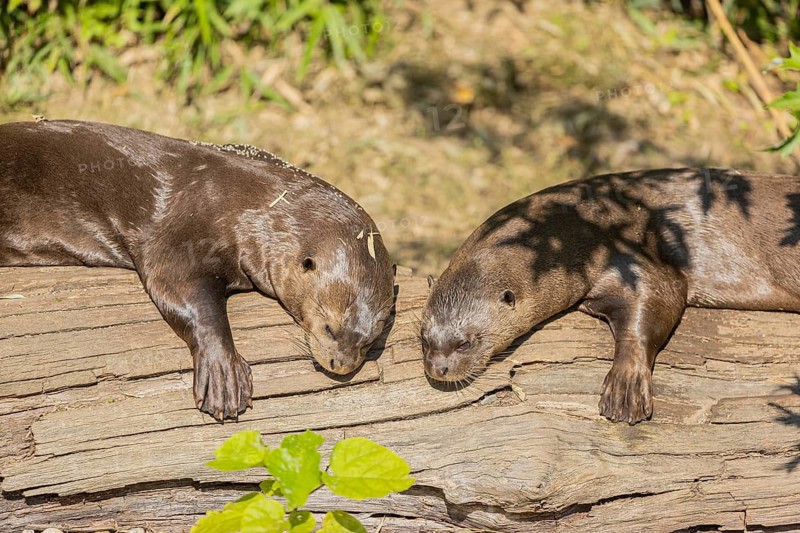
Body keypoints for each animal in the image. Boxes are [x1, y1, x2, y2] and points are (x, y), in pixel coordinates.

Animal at [0, 120, 394, 421]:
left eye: (370, 340)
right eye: (329, 328)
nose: (341, 363)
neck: (253, 209)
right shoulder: (181, 233)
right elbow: (185, 295)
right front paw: (223, 375)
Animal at [421, 168, 800, 424]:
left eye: (464, 343)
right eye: (424, 339)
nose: (439, 368)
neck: (572, 231)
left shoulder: (630, 251)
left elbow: (661, 297)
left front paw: (626, 387)